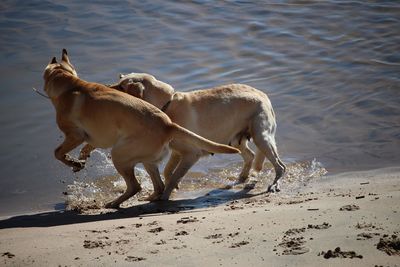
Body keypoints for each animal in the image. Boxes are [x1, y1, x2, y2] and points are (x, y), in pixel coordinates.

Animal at [42, 50, 239, 209]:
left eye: (122, 85)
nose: (107, 85)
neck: (71, 84)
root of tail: (168, 124)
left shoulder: (75, 135)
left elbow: (57, 152)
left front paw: (73, 162)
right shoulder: (98, 137)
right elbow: (87, 147)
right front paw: (80, 160)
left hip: (119, 154)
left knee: (136, 186)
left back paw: (114, 203)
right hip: (146, 159)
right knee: (158, 185)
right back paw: (148, 198)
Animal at [111, 72, 286, 200]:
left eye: (121, 86)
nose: (106, 86)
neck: (166, 105)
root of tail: (264, 96)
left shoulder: (191, 154)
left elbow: (174, 175)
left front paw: (165, 197)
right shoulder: (177, 151)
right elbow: (168, 172)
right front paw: (172, 188)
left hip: (261, 137)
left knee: (280, 166)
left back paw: (274, 185)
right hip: (235, 140)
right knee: (250, 156)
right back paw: (242, 179)